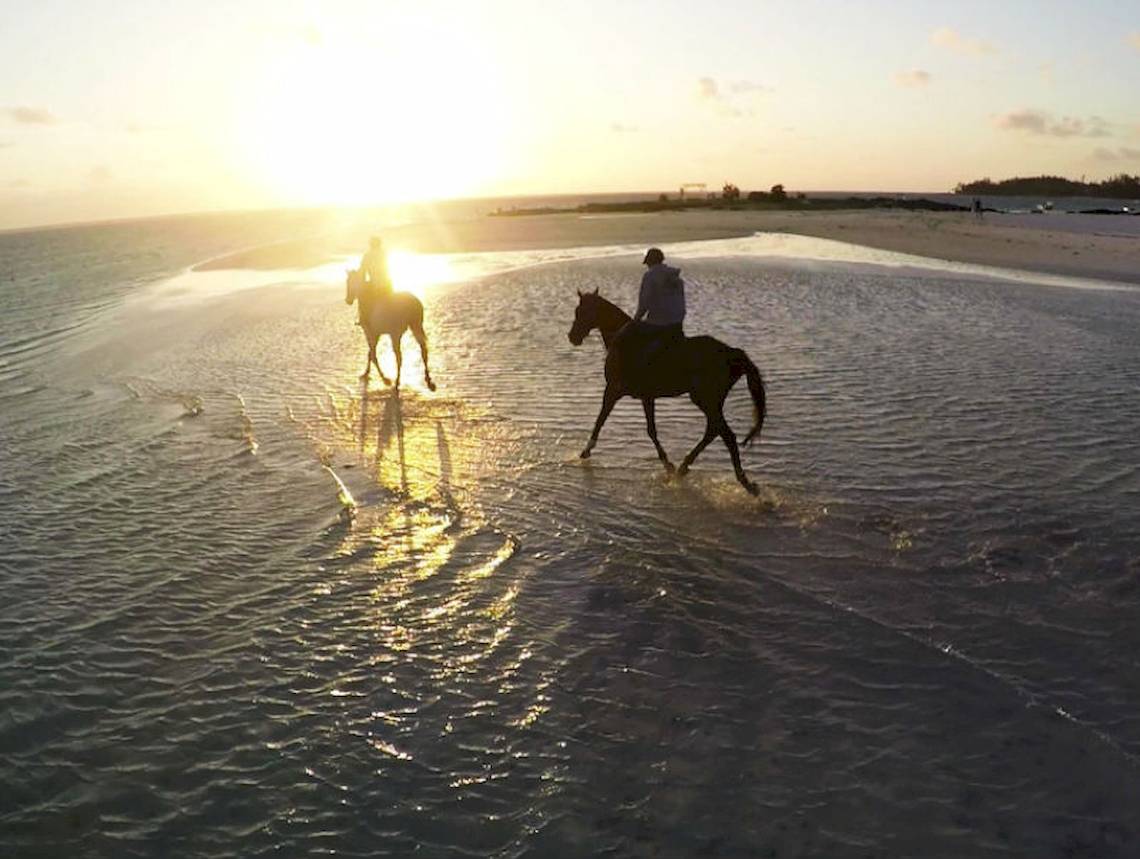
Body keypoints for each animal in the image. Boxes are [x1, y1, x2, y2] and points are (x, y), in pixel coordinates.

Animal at [567, 288, 766, 492]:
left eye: (580, 312)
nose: (572, 336)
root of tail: (732, 353)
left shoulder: (613, 390)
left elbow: (600, 419)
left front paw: (585, 451)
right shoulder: (646, 397)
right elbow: (651, 430)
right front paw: (668, 464)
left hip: (705, 399)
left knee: (726, 435)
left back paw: (745, 483)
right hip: (711, 401)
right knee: (714, 430)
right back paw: (684, 467)